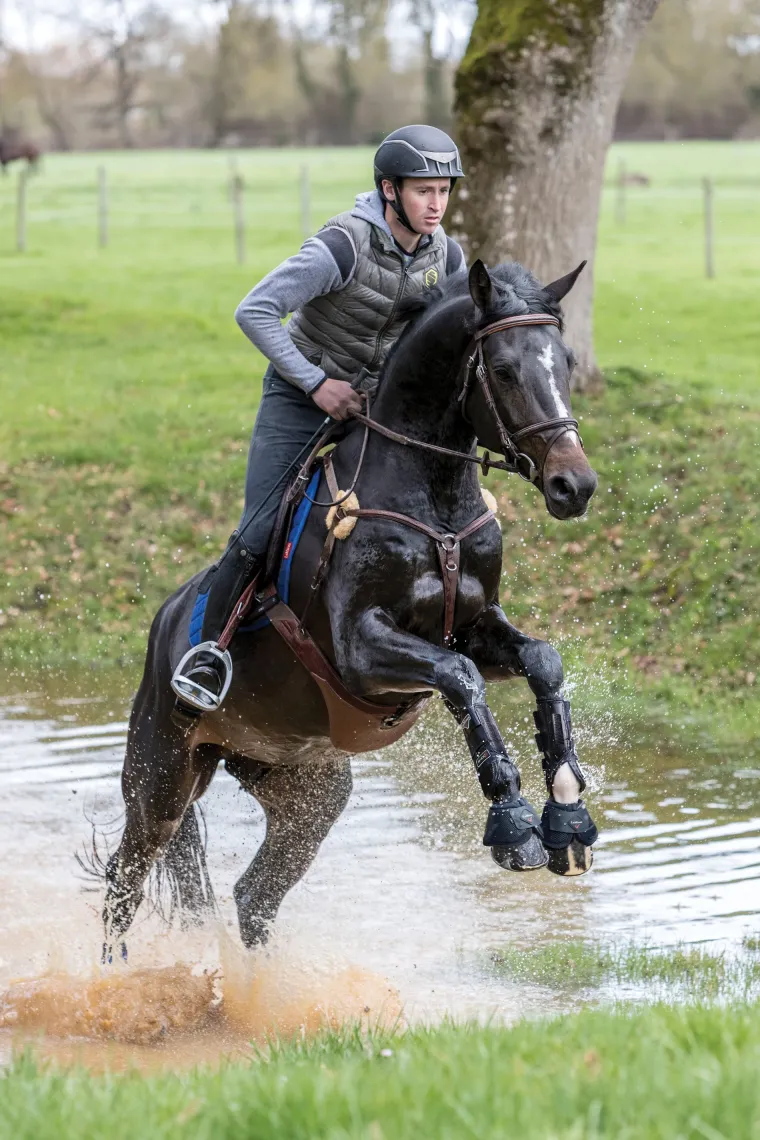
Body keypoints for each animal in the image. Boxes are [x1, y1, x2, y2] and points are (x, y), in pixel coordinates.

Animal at [101, 258, 599, 959]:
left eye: (567, 361)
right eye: (503, 370)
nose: (573, 486)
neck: (431, 502)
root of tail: (162, 627)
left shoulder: (477, 627)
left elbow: (542, 661)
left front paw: (567, 812)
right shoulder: (360, 650)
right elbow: (460, 680)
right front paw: (512, 822)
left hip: (304, 787)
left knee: (255, 895)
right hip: (162, 773)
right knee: (125, 879)